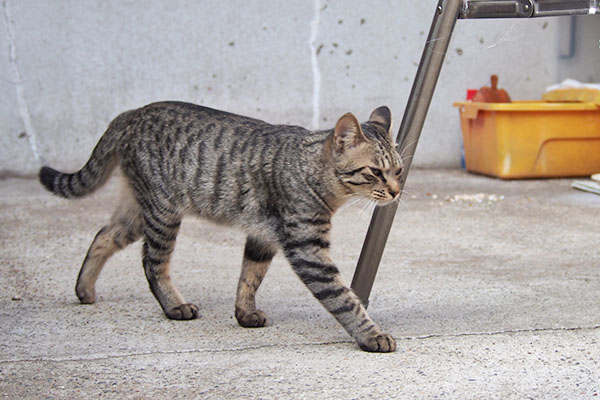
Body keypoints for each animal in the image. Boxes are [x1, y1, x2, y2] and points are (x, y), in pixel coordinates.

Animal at [38, 101, 404, 352]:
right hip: (162, 212)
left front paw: (245, 313)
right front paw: (371, 334)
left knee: (103, 235)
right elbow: (343, 297)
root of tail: (133, 112)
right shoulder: (307, 247)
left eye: (399, 171)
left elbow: (249, 278)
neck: (310, 170)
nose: (396, 191)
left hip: (136, 213)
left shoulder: (262, 237)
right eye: (375, 171)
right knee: (152, 262)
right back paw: (174, 305)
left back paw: (84, 289)